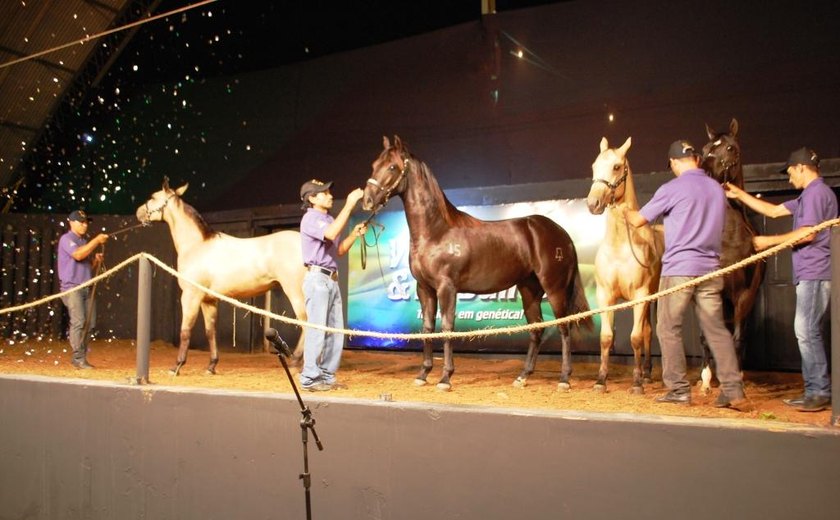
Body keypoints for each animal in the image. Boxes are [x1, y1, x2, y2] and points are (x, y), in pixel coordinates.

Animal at [135, 179, 308, 374]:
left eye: (153, 197)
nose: (138, 212)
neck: (197, 245)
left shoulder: (191, 296)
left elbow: (185, 330)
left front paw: (177, 366)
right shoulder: (208, 300)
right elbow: (211, 331)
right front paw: (211, 365)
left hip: (295, 293)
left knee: (307, 323)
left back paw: (295, 363)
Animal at [360, 136, 592, 392]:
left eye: (392, 167)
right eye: (374, 165)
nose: (367, 201)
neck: (437, 231)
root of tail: (562, 233)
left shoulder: (447, 288)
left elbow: (447, 327)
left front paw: (445, 378)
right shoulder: (425, 289)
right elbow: (428, 328)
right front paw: (423, 374)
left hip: (555, 289)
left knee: (564, 327)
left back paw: (564, 379)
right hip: (529, 290)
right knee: (536, 329)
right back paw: (522, 377)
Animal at [584, 138, 664, 394]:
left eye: (617, 167)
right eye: (594, 165)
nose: (593, 203)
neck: (620, 246)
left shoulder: (640, 295)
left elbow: (636, 337)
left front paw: (637, 383)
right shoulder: (605, 296)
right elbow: (606, 337)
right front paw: (601, 380)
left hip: (655, 298)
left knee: (648, 332)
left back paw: (646, 376)